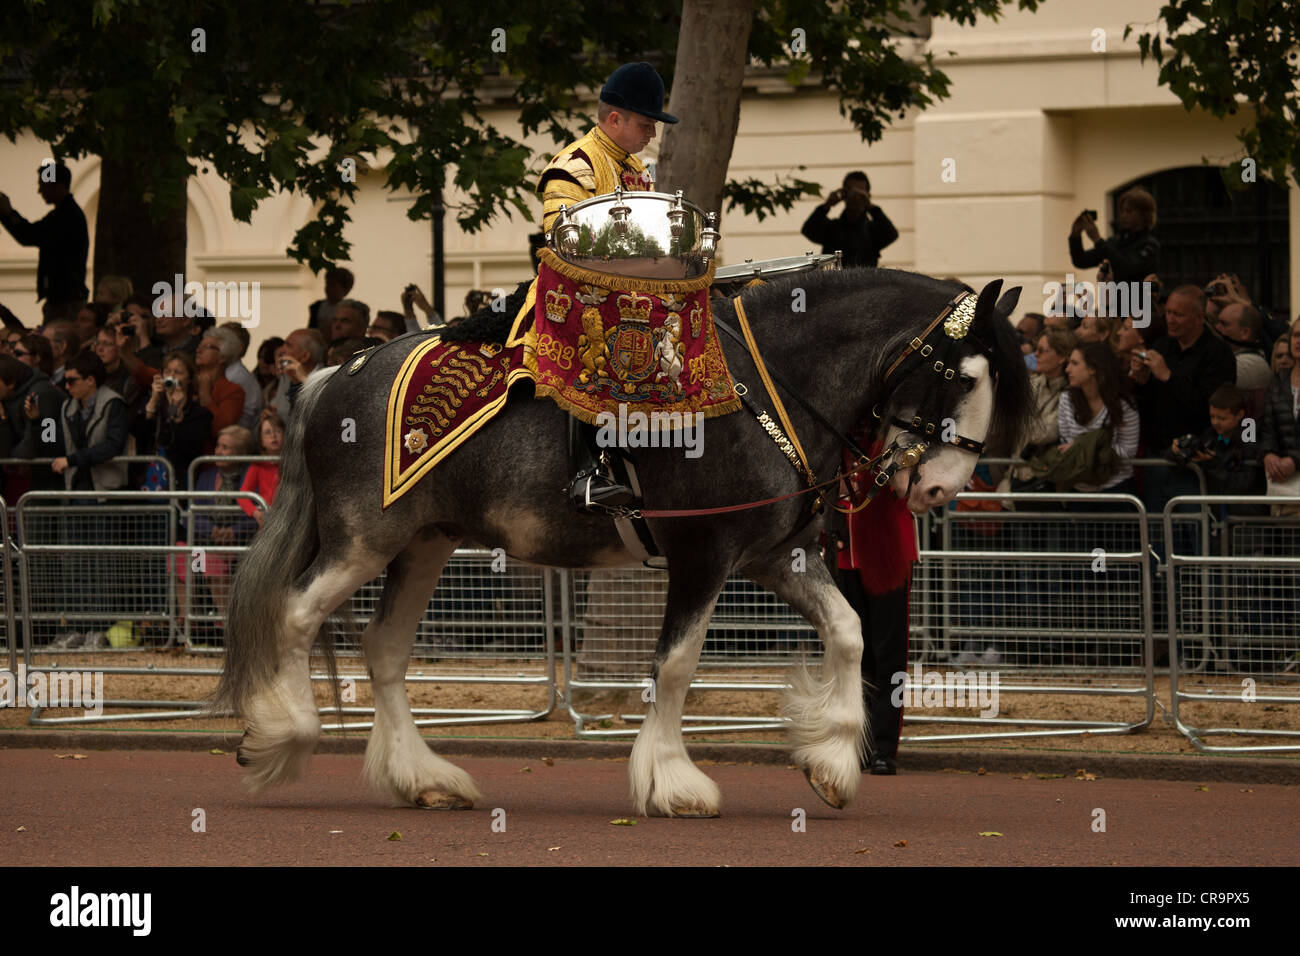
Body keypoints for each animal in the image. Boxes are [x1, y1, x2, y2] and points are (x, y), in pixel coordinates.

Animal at [215, 267, 1032, 817]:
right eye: (964, 377)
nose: (939, 491)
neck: (767, 388)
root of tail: (332, 373)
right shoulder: (704, 556)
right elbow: (675, 667)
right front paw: (673, 781)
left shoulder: (774, 558)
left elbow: (852, 632)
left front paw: (830, 761)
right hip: (363, 541)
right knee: (294, 615)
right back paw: (281, 735)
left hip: (423, 544)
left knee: (383, 649)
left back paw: (424, 779)